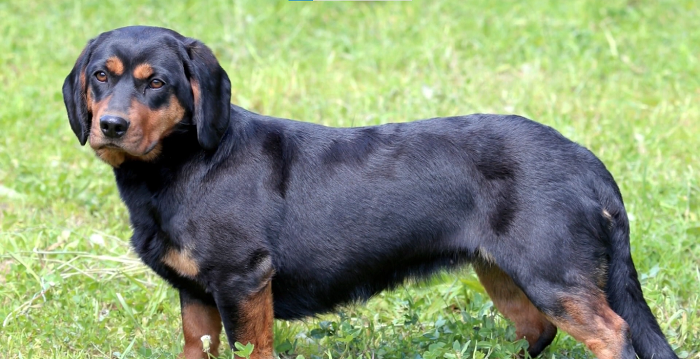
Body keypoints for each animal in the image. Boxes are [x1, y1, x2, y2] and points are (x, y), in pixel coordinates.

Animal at [61, 26, 680, 359]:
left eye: (157, 83)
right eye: (100, 76)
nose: (111, 125)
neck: (187, 164)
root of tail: (586, 161)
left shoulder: (243, 281)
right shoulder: (196, 295)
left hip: (553, 275)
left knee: (612, 333)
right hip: (504, 274)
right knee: (538, 332)